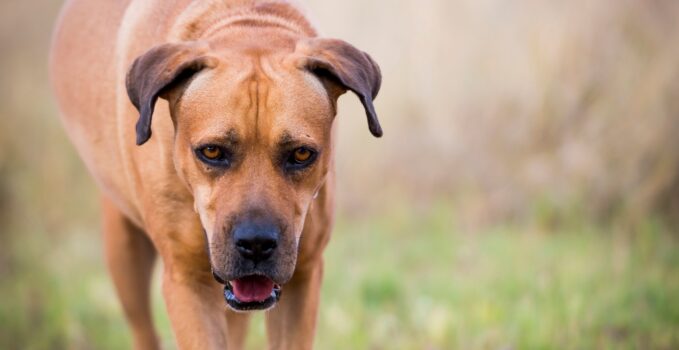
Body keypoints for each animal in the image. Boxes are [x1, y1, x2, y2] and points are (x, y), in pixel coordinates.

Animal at [49, 0, 380, 350]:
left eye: (302, 154)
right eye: (211, 152)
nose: (256, 244)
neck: (248, 23)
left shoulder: (304, 277)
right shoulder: (186, 280)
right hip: (123, 250)